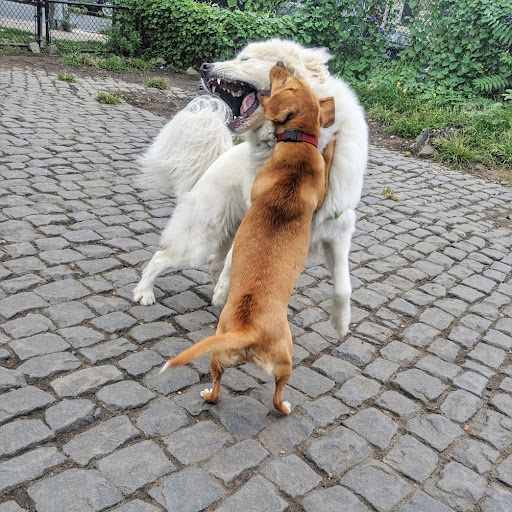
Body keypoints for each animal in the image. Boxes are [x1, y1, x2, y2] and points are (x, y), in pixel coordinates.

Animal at [133, 38, 368, 337]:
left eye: (245, 60)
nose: (204, 66)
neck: (297, 142)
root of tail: (216, 161)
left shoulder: (337, 229)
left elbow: (344, 284)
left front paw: (341, 321)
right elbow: (232, 261)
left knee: (213, 262)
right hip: (199, 240)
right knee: (161, 257)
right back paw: (144, 292)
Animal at [160, 63, 336, 415]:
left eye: (287, 80)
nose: (278, 65)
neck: (297, 143)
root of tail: (247, 329)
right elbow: (328, 159)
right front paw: (330, 146)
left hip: (218, 355)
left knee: (217, 385)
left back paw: (208, 393)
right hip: (286, 361)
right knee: (278, 396)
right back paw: (285, 408)